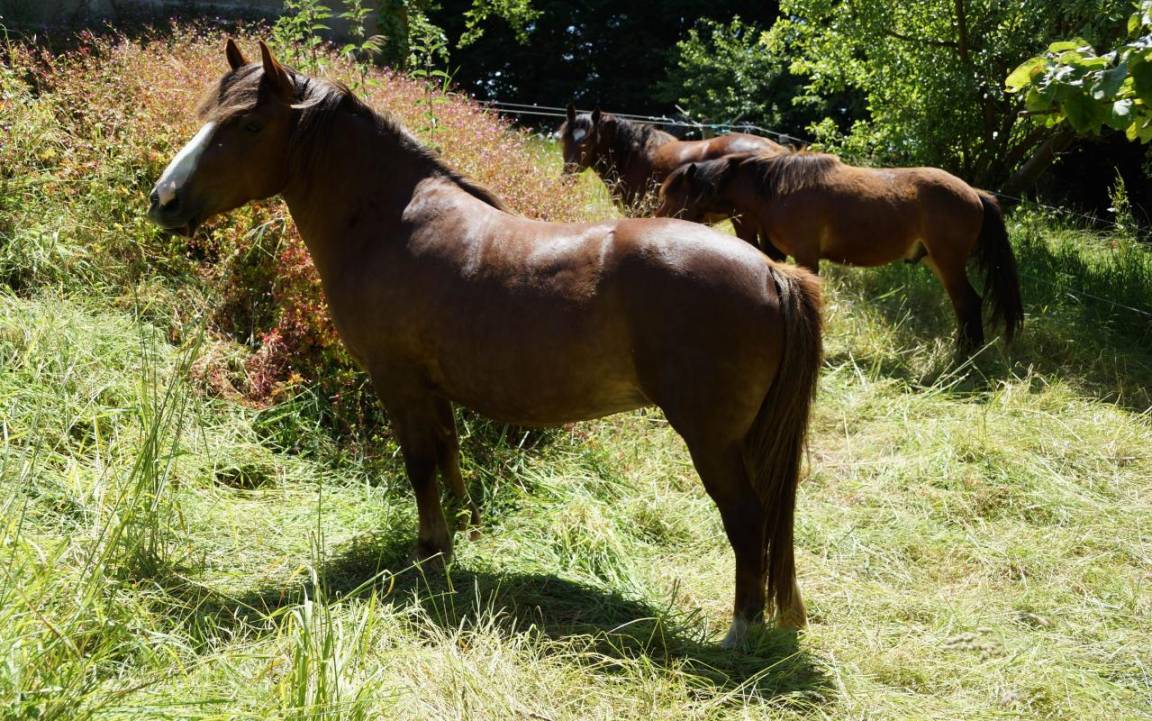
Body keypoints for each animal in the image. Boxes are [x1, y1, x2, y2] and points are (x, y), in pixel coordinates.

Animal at [656, 151, 1023, 352]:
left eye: (675, 196)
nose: (654, 221)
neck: (775, 190)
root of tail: (974, 193)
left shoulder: (806, 256)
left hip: (948, 262)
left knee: (968, 302)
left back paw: (964, 355)